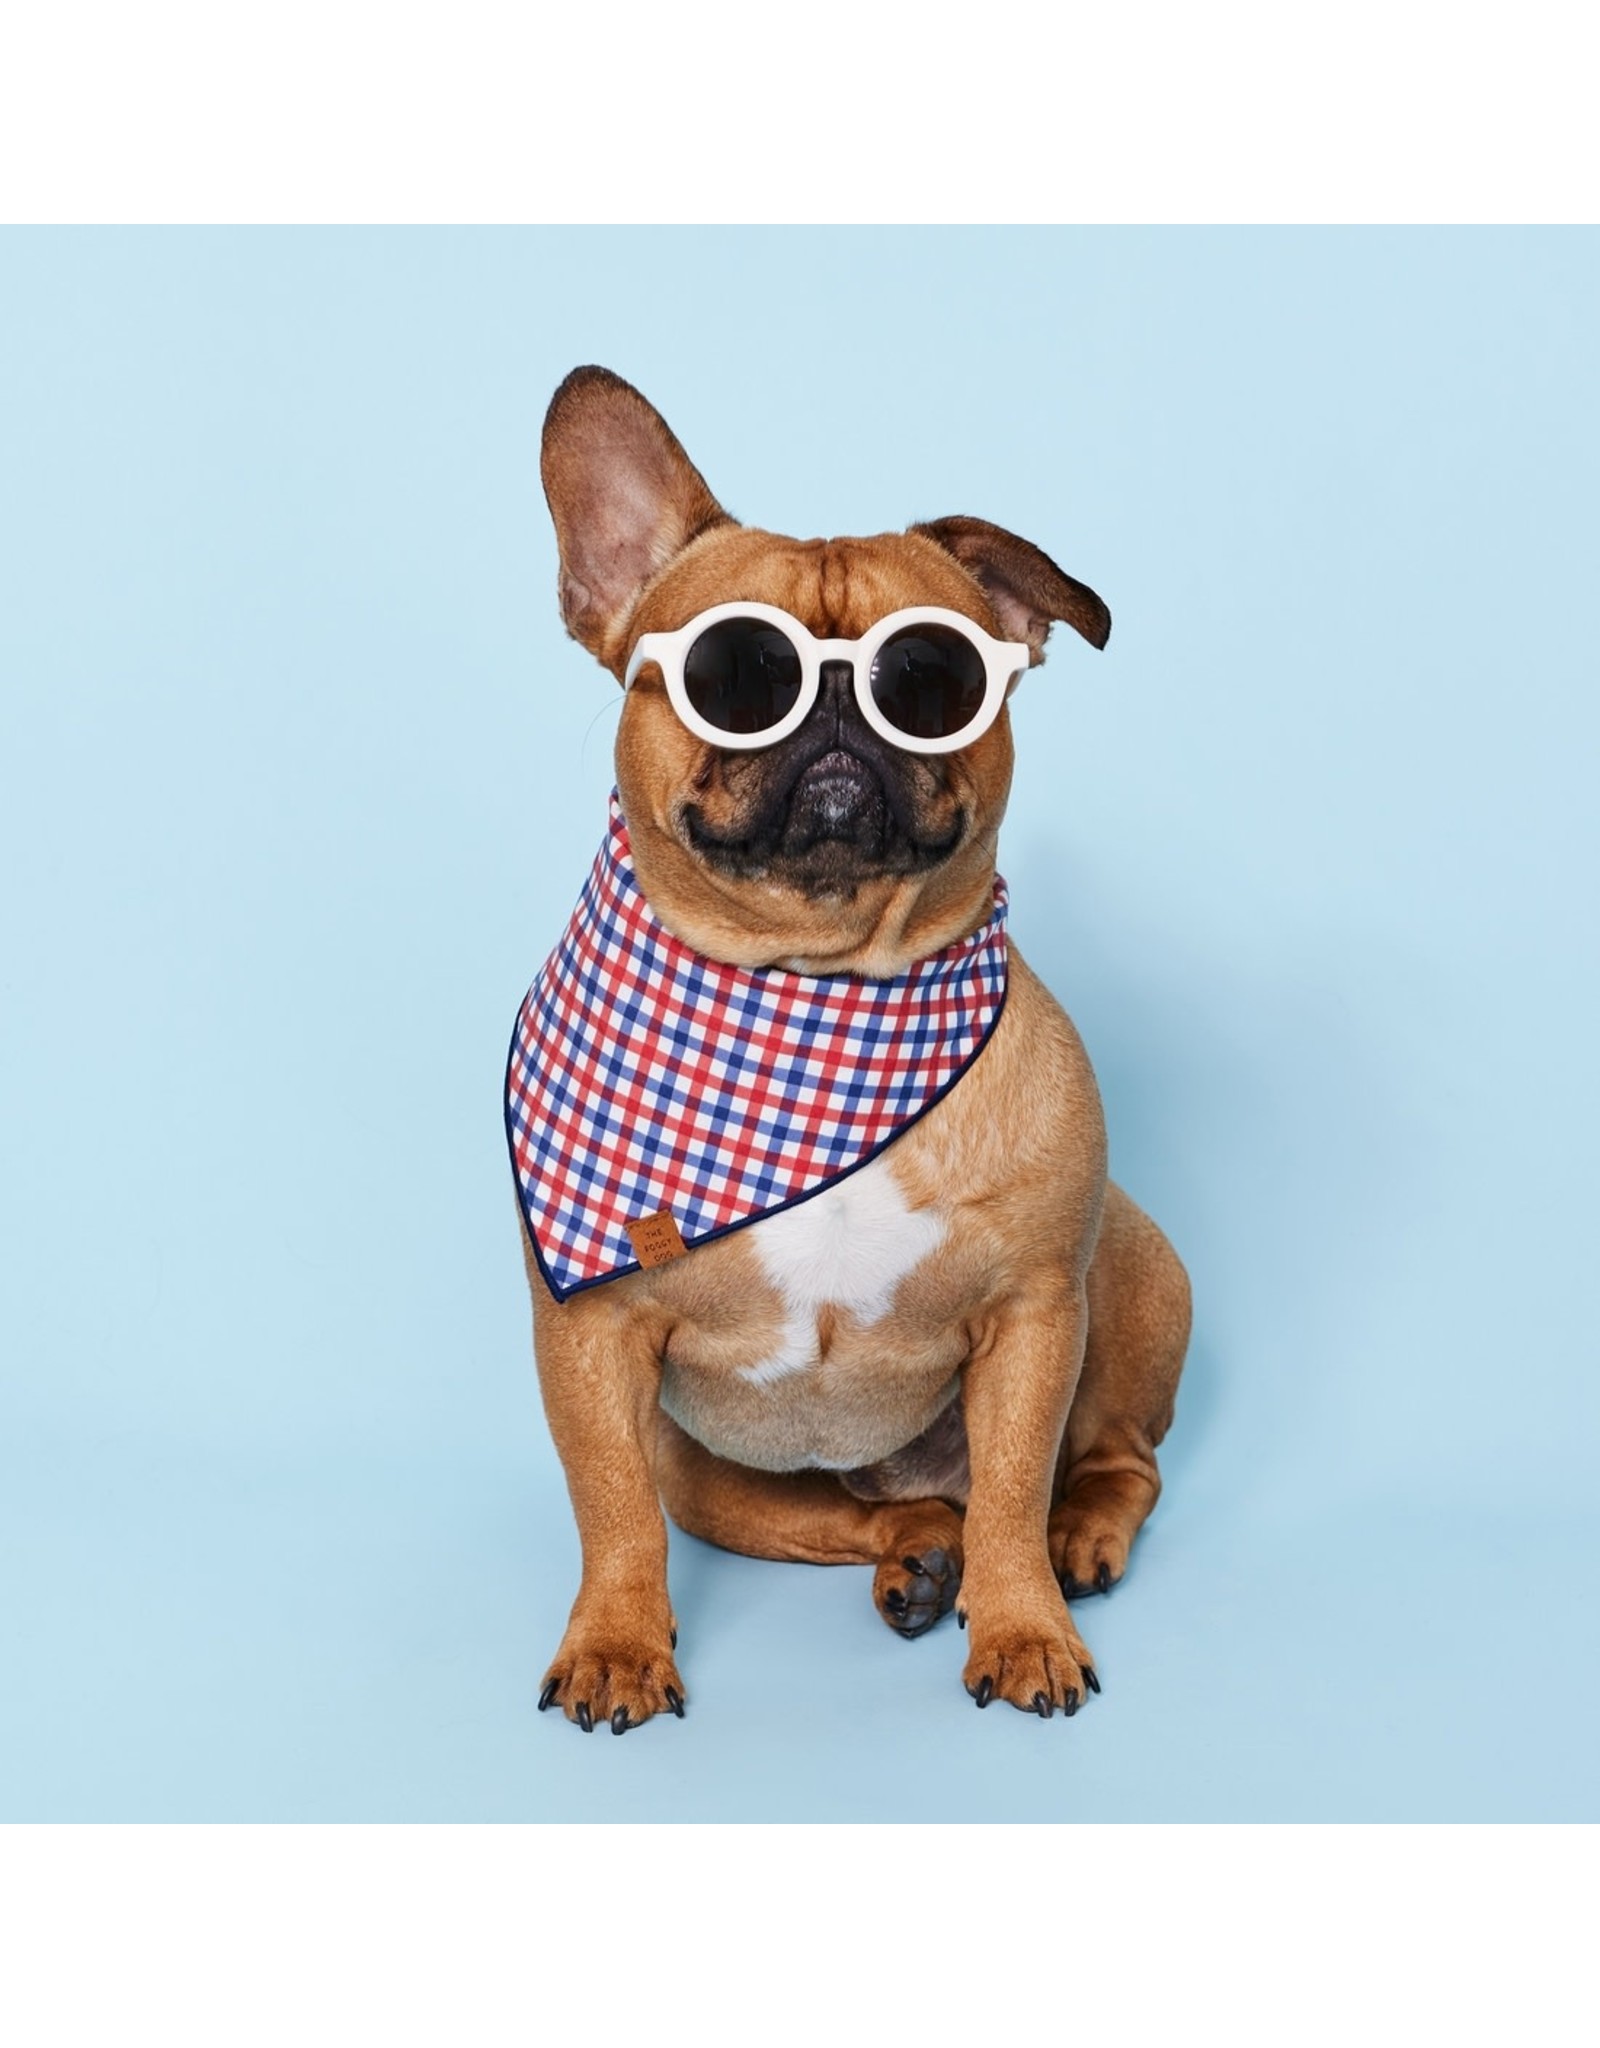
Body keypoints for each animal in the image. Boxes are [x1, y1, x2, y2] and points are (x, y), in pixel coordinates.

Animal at [508, 364, 1188, 1728]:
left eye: (933, 673)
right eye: (734, 669)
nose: (832, 700)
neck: (817, 999)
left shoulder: (1036, 1311)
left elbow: (1017, 1484)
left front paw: (1024, 1623)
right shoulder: (591, 1341)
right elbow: (611, 1508)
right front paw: (616, 1643)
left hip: (1128, 1281)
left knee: (1106, 1462)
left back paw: (1068, 1545)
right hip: (713, 1476)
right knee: (876, 1514)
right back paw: (914, 1562)